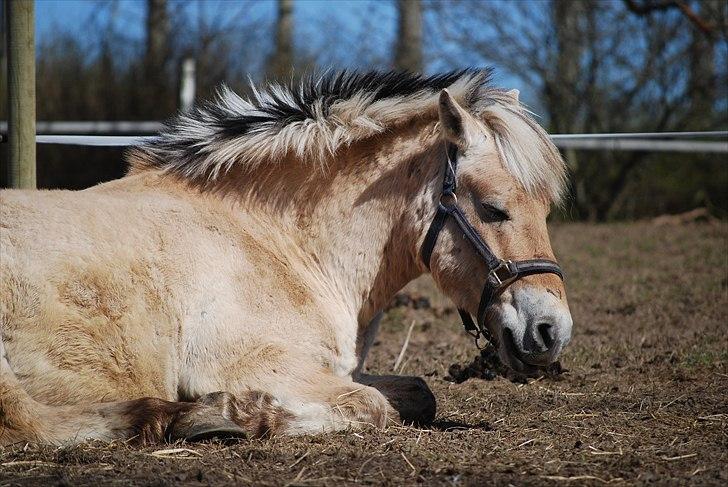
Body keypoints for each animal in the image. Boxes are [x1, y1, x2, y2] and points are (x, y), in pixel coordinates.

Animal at [0, 68, 572, 446]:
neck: (280, 241)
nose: (552, 331)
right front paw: (251, 412)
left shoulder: (330, 368)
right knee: (24, 418)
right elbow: (372, 407)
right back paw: (186, 417)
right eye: (494, 208)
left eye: (545, 208)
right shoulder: (259, 363)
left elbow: (415, 394)